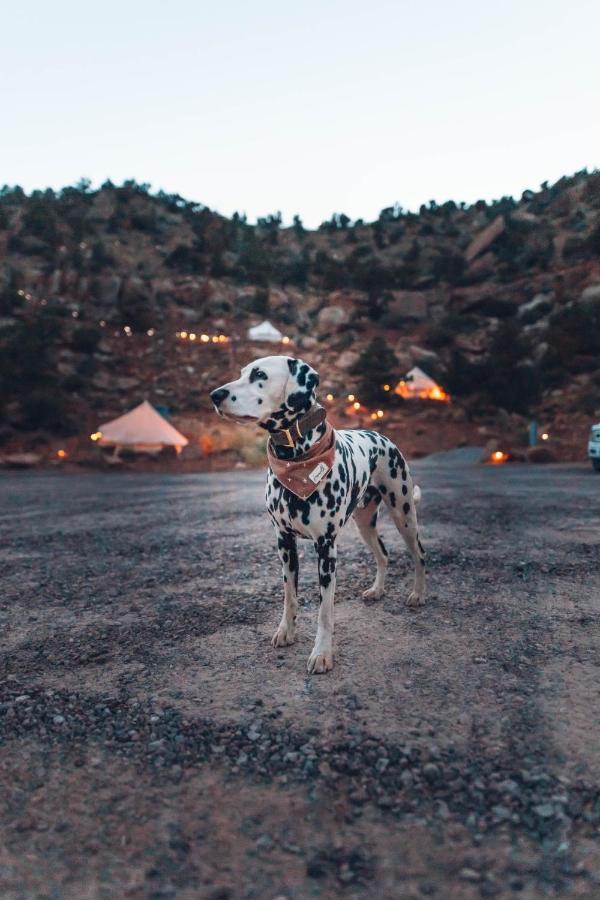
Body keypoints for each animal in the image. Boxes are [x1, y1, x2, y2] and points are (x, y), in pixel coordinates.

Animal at [211, 356, 426, 672]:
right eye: (241, 373)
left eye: (259, 374)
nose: (215, 395)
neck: (296, 459)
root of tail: (380, 436)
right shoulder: (284, 543)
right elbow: (289, 596)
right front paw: (286, 631)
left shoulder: (326, 548)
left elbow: (325, 611)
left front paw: (322, 653)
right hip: (364, 523)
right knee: (383, 554)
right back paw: (377, 590)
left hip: (404, 514)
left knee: (419, 553)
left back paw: (419, 593)